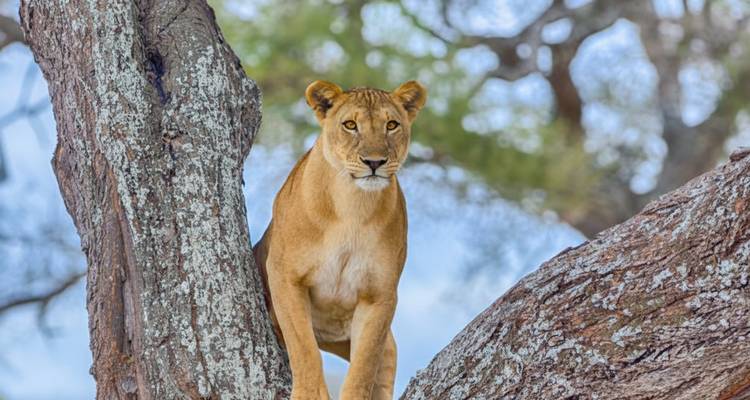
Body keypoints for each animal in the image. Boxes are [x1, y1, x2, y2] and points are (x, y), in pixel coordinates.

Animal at [253, 79, 427, 399]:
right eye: (350, 125)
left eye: (392, 125)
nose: (374, 162)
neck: (353, 207)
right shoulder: (285, 276)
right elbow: (304, 348)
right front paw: (309, 394)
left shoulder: (380, 294)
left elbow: (364, 365)